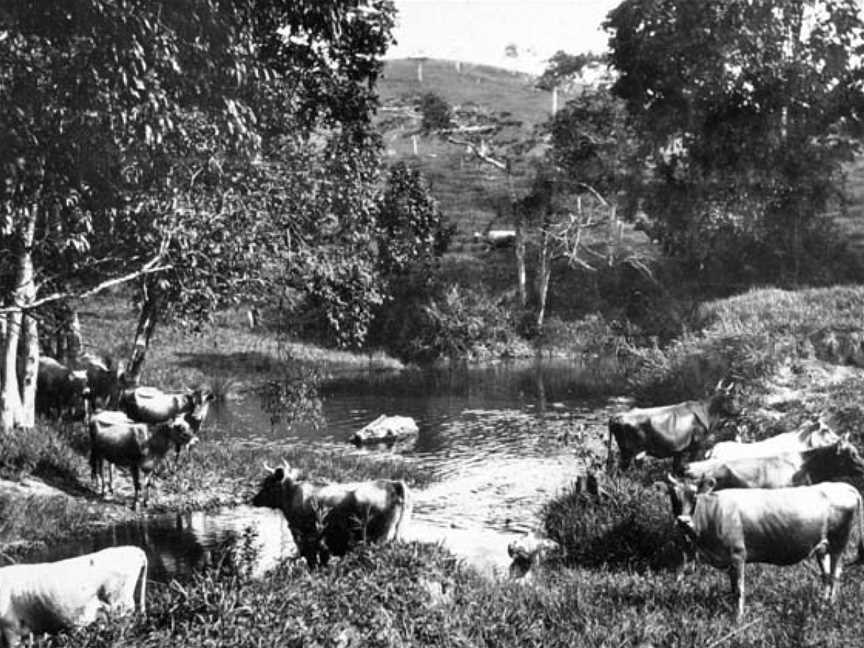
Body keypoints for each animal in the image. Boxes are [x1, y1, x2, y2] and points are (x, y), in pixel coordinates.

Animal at [250, 460, 412, 568]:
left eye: (268, 484)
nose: (254, 500)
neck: (292, 495)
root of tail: (393, 484)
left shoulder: (308, 542)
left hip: (380, 537)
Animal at [608, 382, 744, 474]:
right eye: (732, 398)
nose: (742, 410)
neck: (706, 412)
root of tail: (616, 416)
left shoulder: (678, 451)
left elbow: (676, 470)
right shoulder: (697, 446)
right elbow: (691, 465)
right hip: (629, 452)